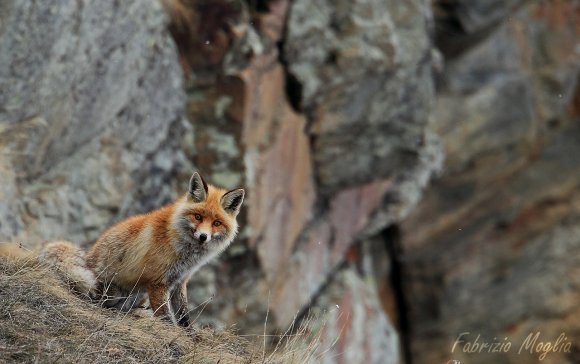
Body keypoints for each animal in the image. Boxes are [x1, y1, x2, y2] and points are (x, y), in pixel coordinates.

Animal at [0, 173, 242, 328]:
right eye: (198, 217)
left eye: (217, 223)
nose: (203, 237)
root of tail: (87, 258)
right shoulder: (157, 283)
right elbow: (166, 317)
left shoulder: (179, 281)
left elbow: (183, 317)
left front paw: (190, 336)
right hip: (116, 291)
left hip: (137, 295)